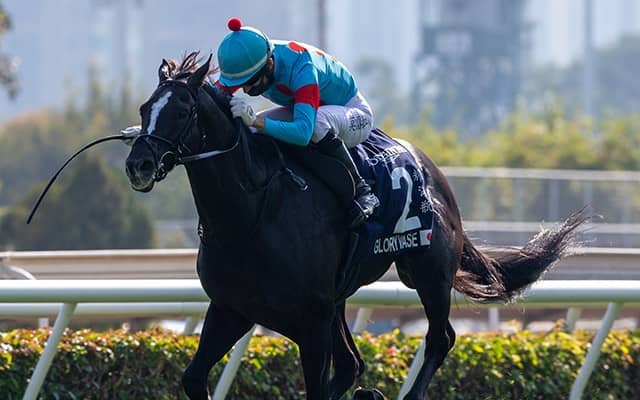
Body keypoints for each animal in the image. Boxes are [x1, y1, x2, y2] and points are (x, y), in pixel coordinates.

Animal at [124, 52, 588, 400]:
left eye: (182, 110)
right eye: (145, 109)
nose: (138, 164)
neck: (250, 214)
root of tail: (435, 173)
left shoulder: (310, 321)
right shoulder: (233, 308)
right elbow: (193, 378)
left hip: (429, 275)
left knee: (439, 339)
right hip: (340, 299)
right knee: (352, 365)